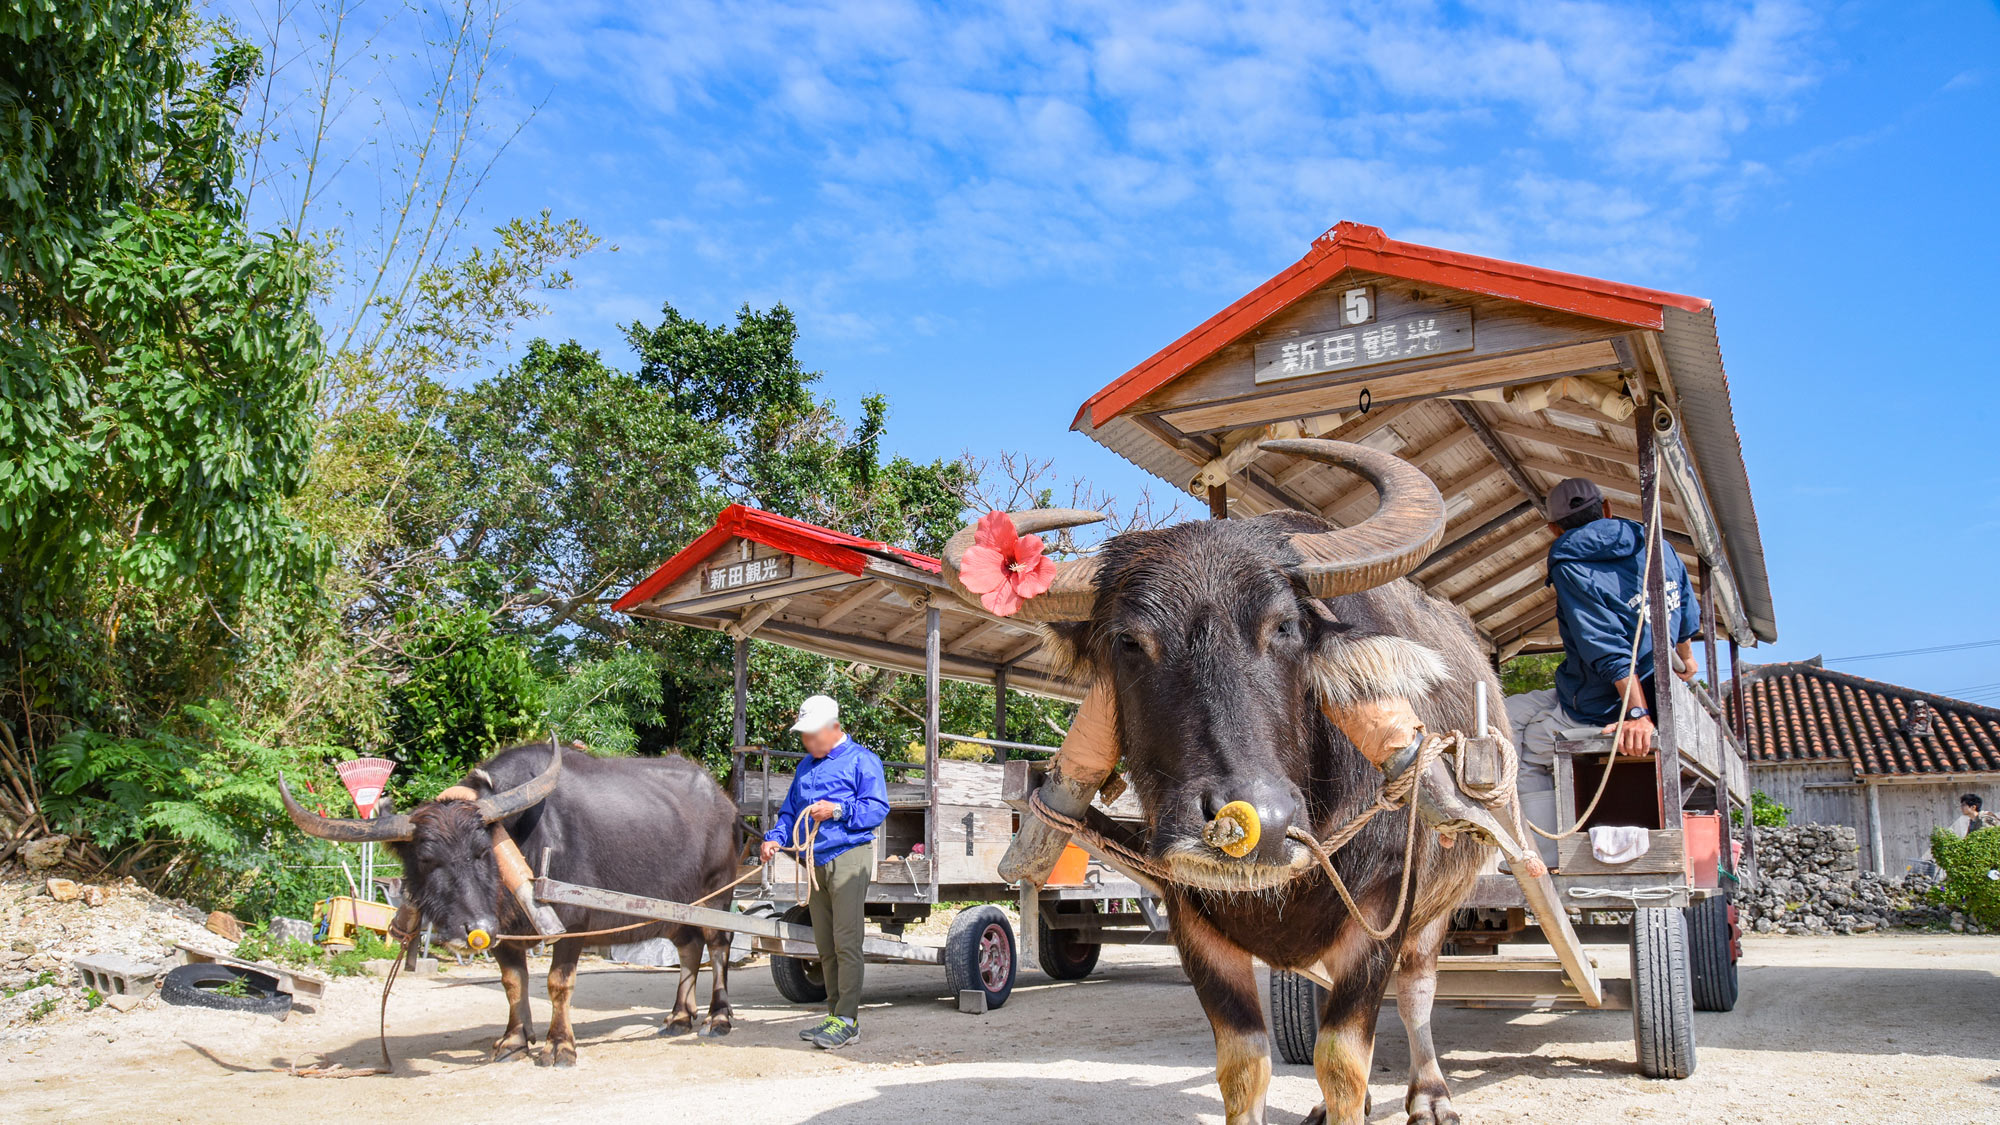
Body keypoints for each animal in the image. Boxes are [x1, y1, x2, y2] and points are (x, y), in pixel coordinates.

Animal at [284, 740, 744, 1064]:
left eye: (481, 851)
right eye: (426, 861)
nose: (474, 930)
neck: (527, 837)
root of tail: (725, 803)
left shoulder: (573, 925)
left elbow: (558, 983)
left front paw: (559, 1046)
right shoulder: (503, 932)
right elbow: (513, 982)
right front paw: (514, 1040)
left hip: (719, 893)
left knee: (718, 946)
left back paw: (718, 1018)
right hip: (676, 908)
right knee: (688, 947)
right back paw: (679, 1017)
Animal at [944, 438, 1496, 1120]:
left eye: (1285, 627)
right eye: (1129, 641)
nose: (1259, 824)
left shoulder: (1386, 906)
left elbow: (1342, 1058)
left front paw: (1363, 1095)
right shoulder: (1190, 915)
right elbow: (1244, 1063)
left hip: (1439, 907)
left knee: (1418, 992)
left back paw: (1430, 1096)